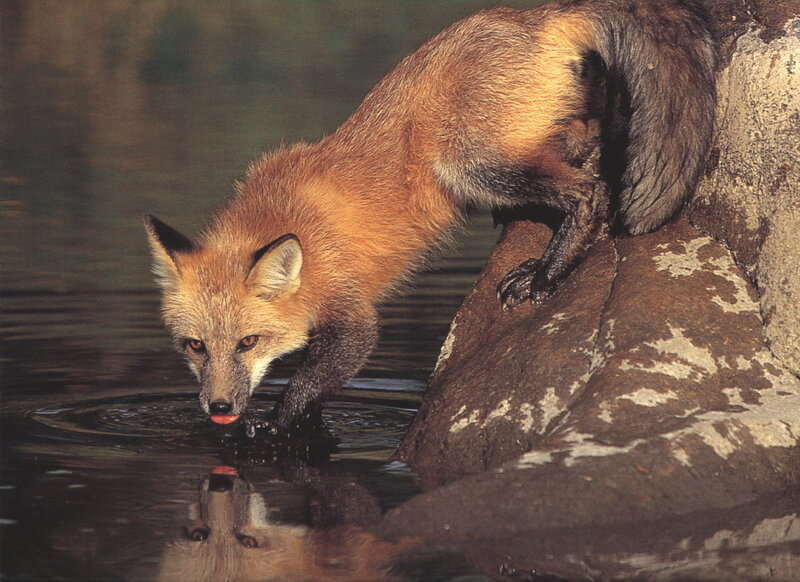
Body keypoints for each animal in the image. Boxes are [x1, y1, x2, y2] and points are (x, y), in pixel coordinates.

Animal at [145, 0, 716, 431]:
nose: (220, 409)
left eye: (249, 342)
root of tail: (535, 13)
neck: (286, 220)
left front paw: (275, 425)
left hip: (469, 162)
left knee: (589, 192)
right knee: (584, 141)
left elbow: (316, 375)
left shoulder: (350, 313)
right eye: (195, 346)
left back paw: (548, 271)